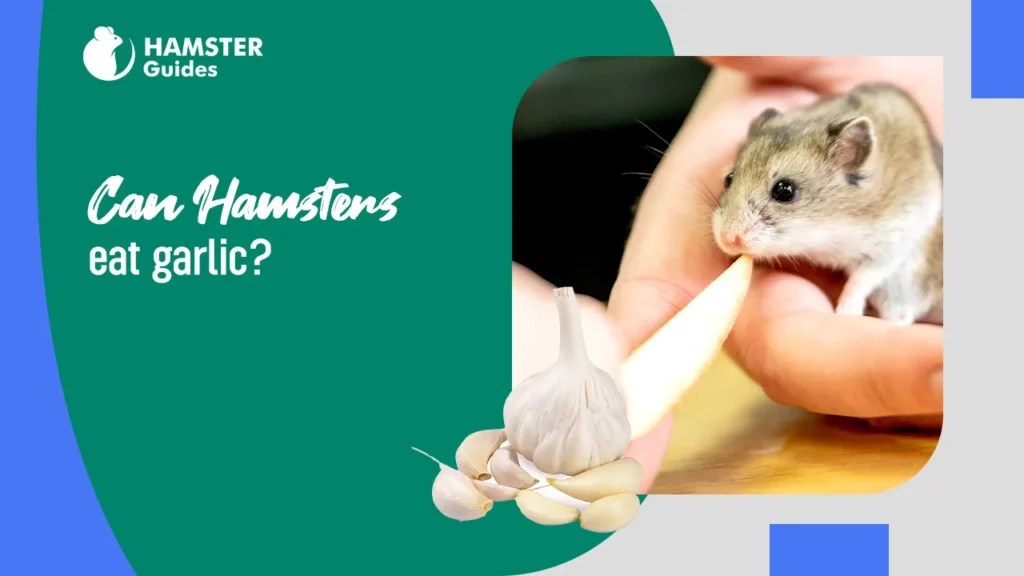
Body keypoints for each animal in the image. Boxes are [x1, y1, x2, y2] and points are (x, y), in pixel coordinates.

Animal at [712, 83, 943, 326]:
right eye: (728, 179)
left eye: (785, 191)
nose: (727, 239)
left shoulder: (894, 240)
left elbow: (862, 278)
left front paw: (846, 312)